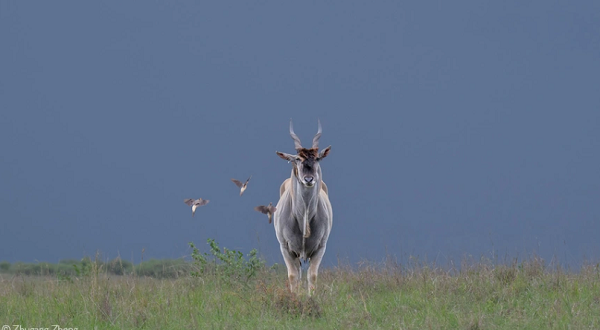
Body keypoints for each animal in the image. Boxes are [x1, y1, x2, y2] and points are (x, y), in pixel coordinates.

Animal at [274, 120, 330, 296]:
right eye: (298, 158)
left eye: (317, 158)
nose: (309, 179)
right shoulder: (286, 248)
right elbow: (293, 276)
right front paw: (294, 297)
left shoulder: (320, 248)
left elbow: (312, 276)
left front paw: (311, 298)